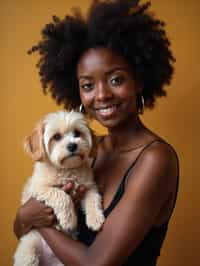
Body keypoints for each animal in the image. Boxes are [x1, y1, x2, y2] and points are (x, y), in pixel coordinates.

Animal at [14, 110, 104, 266]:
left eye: (77, 133)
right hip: (29, 250)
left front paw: (95, 219)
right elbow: (61, 195)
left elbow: (93, 199)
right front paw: (68, 219)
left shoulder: (88, 186)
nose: (73, 146)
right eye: (56, 137)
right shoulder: (38, 188)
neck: (67, 170)